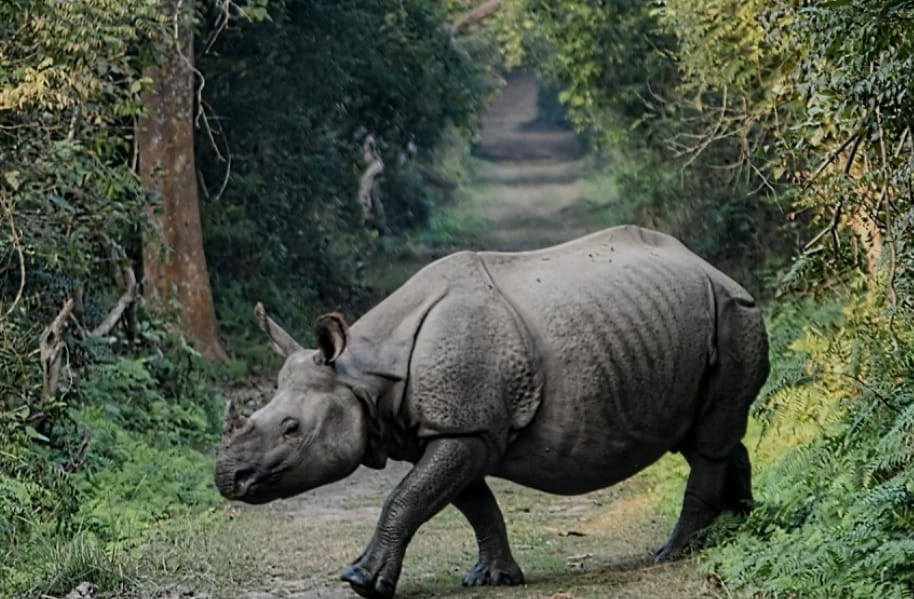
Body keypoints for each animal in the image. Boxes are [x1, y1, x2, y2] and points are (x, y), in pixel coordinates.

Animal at [214, 225, 769, 599]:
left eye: (292, 428)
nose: (227, 478)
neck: (362, 374)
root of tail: (717, 270)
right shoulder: (454, 429)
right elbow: (471, 503)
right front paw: (494, 578)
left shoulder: (465, 428)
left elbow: (405, 498)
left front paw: (360, 581)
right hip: (691, 322)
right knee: (704, 435)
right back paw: (739, 525)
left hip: (734, 312)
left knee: (708, 440)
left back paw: (675, 552)